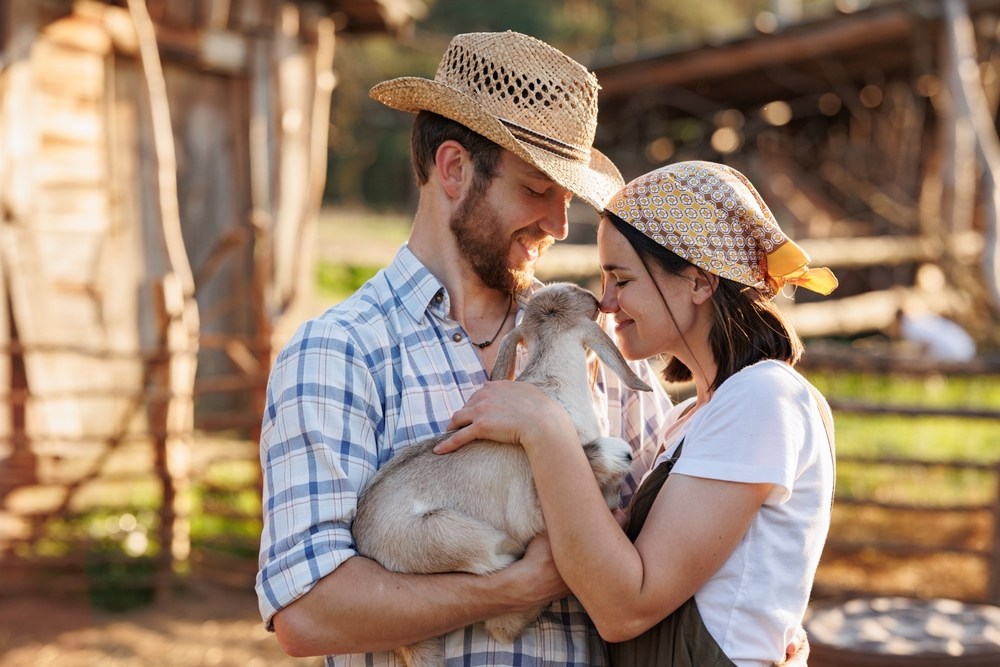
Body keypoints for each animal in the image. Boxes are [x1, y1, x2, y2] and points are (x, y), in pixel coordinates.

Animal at [354, 284, 656, 667]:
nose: (593, 296)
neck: (551, 383)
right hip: (453, 535)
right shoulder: (537, 502)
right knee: (498, 604)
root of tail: (366, 549)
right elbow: (606, 463)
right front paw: (617, 463)